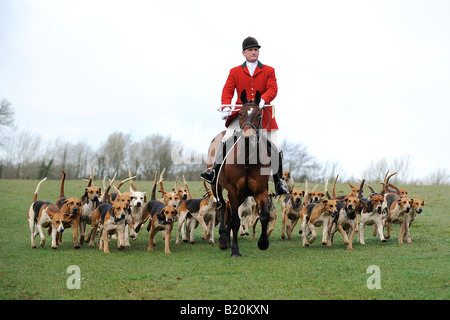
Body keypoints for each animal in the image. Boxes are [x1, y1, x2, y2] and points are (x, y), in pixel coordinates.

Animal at [206, 89, 272, 258]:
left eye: (259, 115)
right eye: (240, 113)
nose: (248, 138)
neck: (247, 158)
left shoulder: (261, 190)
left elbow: (264, 216)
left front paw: (263, 243)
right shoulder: (232, 191)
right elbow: (235, 220)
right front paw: (235, 250)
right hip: (217, 186)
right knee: (222, 206)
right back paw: (223, 239)